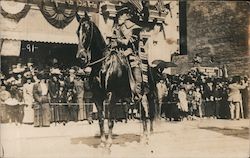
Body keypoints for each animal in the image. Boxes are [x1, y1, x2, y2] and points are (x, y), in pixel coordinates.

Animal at [74, 12, 158, 148]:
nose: (81, 57)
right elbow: (101, 120)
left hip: (149, 94)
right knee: (143, 115)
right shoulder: (97, 97)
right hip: (137, 97)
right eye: (77, 32)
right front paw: (102, 142)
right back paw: (142, 138)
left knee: (148, 114)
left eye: (87, 29)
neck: (103, 64)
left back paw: (148, 137)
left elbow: (110, 120)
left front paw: (108, 143)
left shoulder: (111, 95)